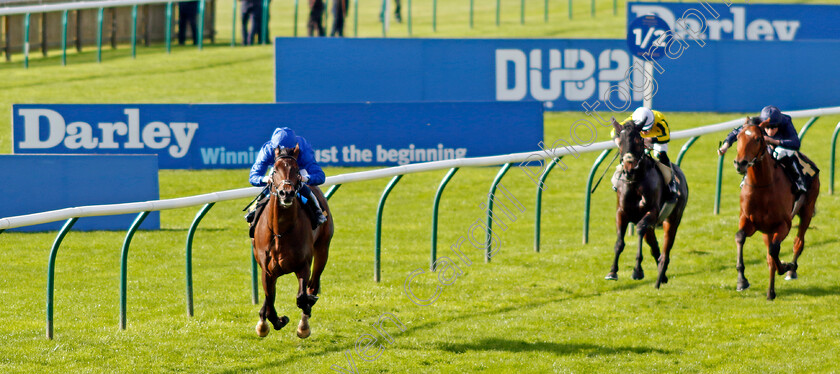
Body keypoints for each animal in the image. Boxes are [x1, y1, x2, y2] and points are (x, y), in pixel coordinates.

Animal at [253, 145, 334, 338]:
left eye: (297, 170)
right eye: (274, 170)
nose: (287, 193)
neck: (280, 232)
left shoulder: (303, 265)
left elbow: (302, 296)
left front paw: (303, 318)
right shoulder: (267, 270)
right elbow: (270, 301)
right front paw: (271, 322)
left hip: (323, 250)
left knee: (313, 285)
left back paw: (304, 323)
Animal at [612, 118, 688, 288]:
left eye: (638, 140)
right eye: (620, 141)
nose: (628, 169)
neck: (635, 181)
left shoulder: (652, 212)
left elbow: (640, 229)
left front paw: (637, 270)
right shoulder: (621, 212)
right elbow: (619, 242)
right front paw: (612, 272)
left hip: (672, 220)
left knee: (665, 251)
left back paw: (659, 280)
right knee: (655, 247)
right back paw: (663, 276)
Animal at [732, 120, 816, 300]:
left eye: (757, 139)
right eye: (738, 137)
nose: (740, 163)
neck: (762, 186)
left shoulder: (783, 225)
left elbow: (774, 250)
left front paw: (786, 266)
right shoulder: (748, 220)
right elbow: (740, 237)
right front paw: (742, 281)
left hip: (807, 209)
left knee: (798, 242)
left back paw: (790, 271)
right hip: (767, 230)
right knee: (770, 256)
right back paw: (771, 291)